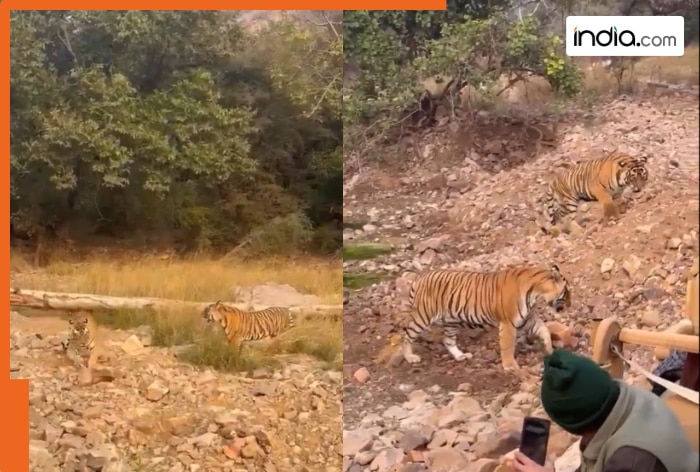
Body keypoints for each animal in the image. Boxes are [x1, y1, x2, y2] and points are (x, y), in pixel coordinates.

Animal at [402, 264, 571, 372]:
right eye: (567, 292)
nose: (570, 305)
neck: (536, 292)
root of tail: (420, 276)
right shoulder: (508, 323)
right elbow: (508, 346)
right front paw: (510, 366)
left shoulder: (528, 320)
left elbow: (544, 330)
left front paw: (550, 350)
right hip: (423, 316)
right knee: (407, 335)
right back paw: (410, 357)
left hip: (452, 321)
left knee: (448, 340)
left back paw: (460, 356)